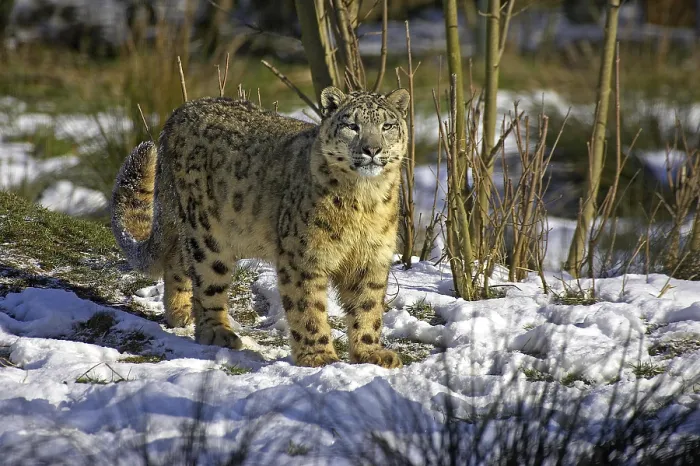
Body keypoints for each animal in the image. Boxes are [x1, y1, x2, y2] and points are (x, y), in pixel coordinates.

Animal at [111, 86, 409, 368]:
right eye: (352, 125)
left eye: (387, 126)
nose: (372, 149)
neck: (364, 199)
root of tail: (179, 112)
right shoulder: (303, 257)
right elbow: (308, 307)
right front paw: (318, 356)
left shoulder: (371, 257)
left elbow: (368, 307)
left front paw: (371, 353)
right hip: (207, 233)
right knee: (206, 281)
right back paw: (217, 332)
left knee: (176, 260)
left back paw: (180, 313)